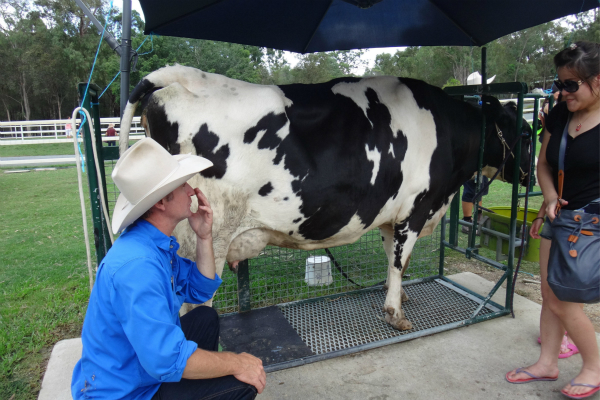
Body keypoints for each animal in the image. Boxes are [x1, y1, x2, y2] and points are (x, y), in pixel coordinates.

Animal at [118, 65, 528, 332]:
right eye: (525, 132)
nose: (526, 175)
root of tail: (178, 77)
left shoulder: (390, 214)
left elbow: (392, 257)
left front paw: (396, 297)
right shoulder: (415, 209)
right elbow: (399, 261)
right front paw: (395, 313)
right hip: (206, 239)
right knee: (191, 308)